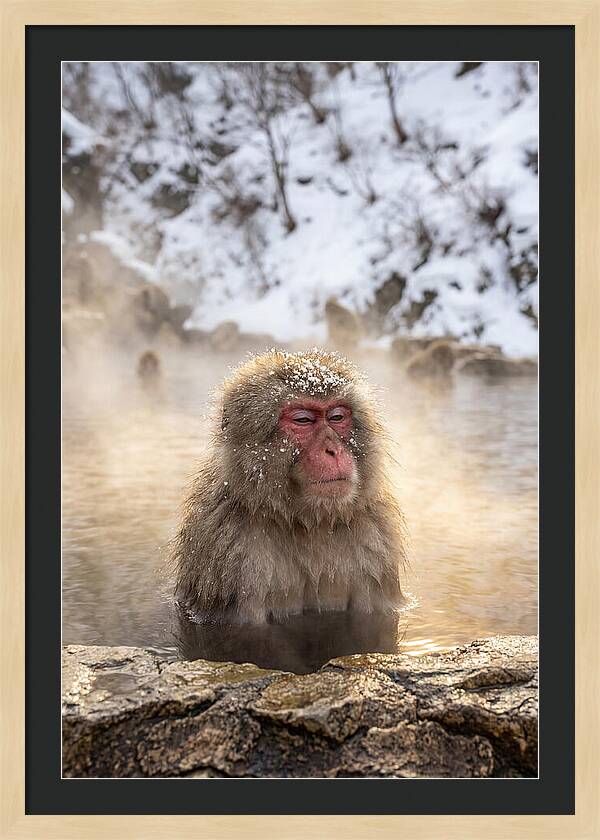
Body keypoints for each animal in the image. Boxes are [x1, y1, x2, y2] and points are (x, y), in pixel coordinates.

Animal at [172, 348, 406, 624]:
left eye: (337, 417)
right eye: (303, 420)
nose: (333, 450)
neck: (309, 523)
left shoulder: (376, 542)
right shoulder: (229, 552)